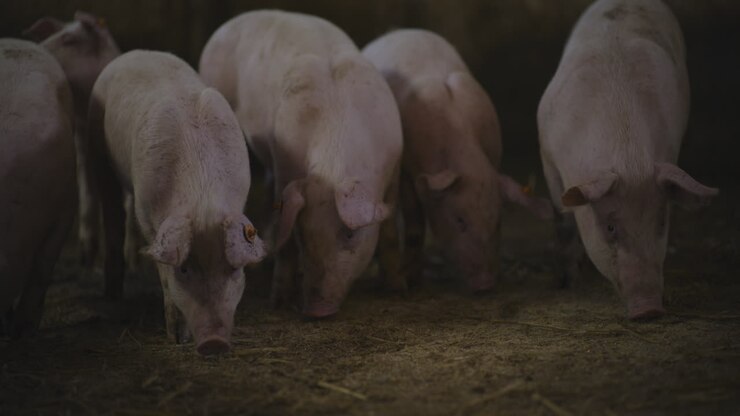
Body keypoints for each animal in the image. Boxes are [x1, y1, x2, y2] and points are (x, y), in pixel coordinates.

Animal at [87, 50, 266, 354]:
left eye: (232, 270)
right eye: (184, 269)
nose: (214, 343)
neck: (202, 196)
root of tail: (134, 52)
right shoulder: (149, 217)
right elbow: (164, 276)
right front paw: (176, 339)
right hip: (98, 151)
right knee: (110, 210)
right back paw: (112, 293)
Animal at [199, 10, 403, 318]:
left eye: (350, 234)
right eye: (303, 235)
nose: (316, 309)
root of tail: (230, 22)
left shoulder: (393, 171)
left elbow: (390, 231)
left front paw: (396, 288)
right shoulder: (285, 164)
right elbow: (286, 239)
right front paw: (278, 302)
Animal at [363, 29, 553, 292]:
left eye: (497, 222)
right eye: (459, 220)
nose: (485, 283)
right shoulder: (407, 171)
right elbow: (414, 226)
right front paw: (411, 282)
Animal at [537, 0, 718, 320]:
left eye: (661, 222)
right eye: (610, 227)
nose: (649, 309)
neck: (628, 160)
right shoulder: (548, 154)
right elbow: (564, 222)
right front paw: (568, 283)